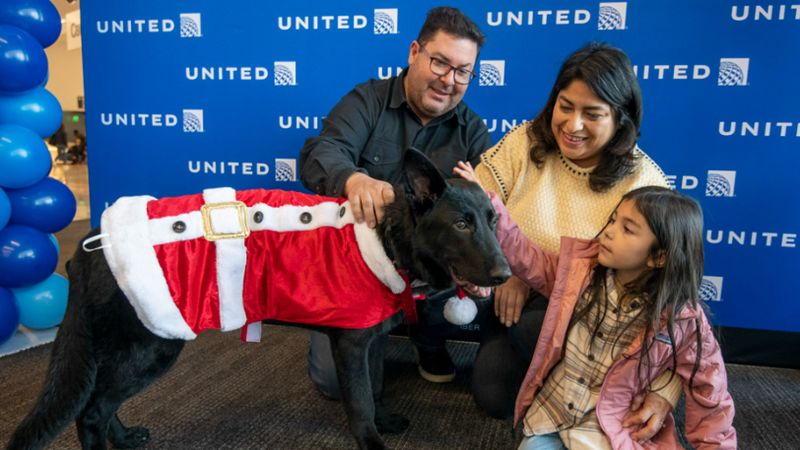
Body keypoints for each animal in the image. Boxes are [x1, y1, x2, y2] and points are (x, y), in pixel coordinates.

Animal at [6, 149, 510, 448]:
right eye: (461, 224)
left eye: (492, 220)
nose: (506, 274)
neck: (387, 239)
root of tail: (91, 243)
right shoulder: (349, 344)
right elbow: (361, 401)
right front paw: (372, 439)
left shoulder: (371, 340)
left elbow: (378, 384)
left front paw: (384, 420)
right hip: (152, 345)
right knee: (91, 410)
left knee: (102, 405)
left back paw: (126, 436)